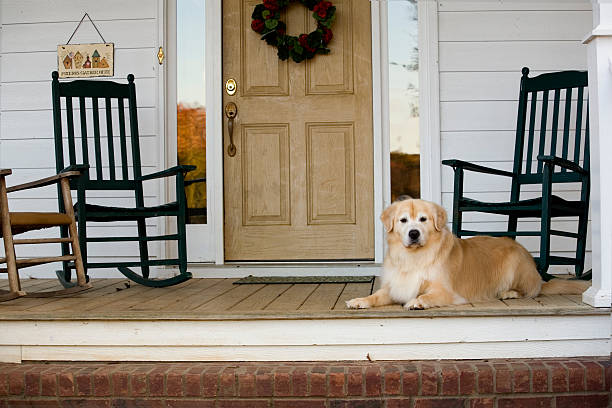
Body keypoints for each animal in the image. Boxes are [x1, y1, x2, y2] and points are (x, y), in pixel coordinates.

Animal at [346, 198, 584, 310]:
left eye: (423, 219)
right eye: (403, 220)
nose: (414, 233)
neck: (414, 258)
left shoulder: (446, 291)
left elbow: (425, 295)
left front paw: (416, 302)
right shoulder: (395, 287)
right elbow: (376, 296)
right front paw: (360, 300)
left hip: (515, 263)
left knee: (530, 291)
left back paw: (509, 292)